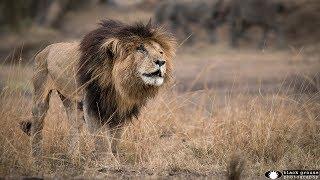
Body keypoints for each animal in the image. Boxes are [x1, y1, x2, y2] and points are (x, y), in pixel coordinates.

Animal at [19, 19, 176, 160]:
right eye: (141, 49)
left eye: (161, 52)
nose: (161, 62)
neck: (118, 84)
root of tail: (45, 49)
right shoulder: (92, 104)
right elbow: (101, 137)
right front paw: (109, 162)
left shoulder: (120, 108)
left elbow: (116, 136)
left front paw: (115, 156)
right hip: (40, 93)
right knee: (38, 122)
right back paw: (37, 156)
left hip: (70, 99)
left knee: (74, 125)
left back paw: (73, 156)